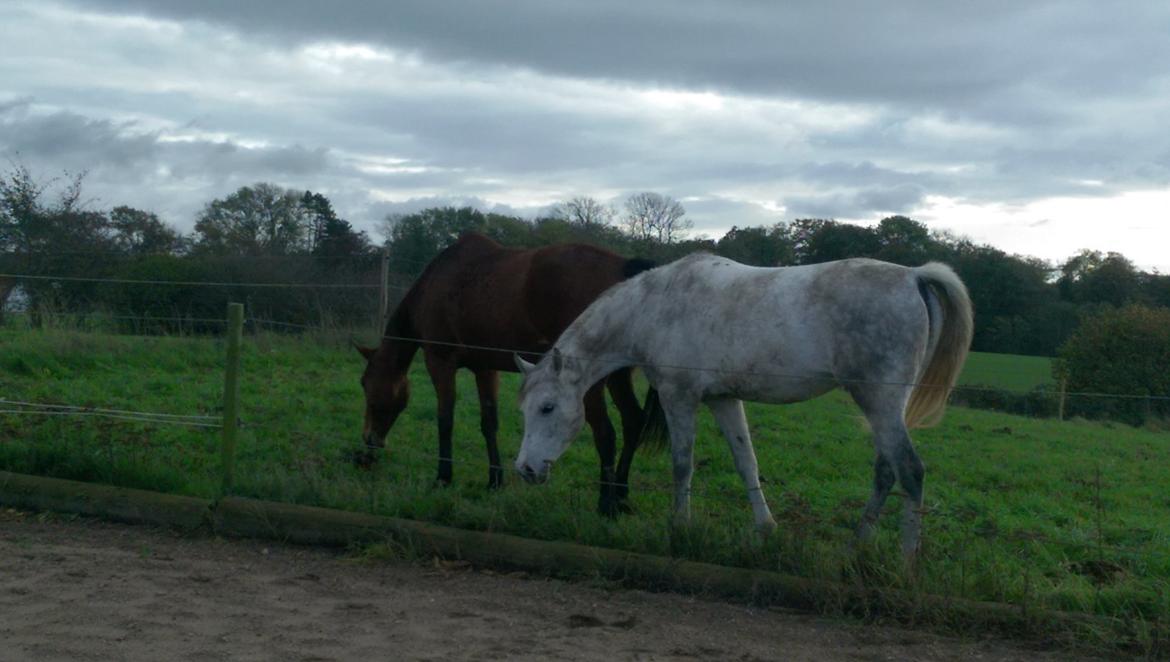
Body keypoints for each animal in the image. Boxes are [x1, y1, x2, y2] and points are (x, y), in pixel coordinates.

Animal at [351, 233, 664, 519]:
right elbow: (489, 422)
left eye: (366, 385)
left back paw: (606, 504)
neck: (435, 284)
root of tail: (622, 267)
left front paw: (443, 477)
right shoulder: (485, 369)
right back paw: (621, 495)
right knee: (633, 421)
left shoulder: (440, 362)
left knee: (605, 433)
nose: (367, 447)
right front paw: (494, 480)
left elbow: (445, 420)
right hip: (617, 376)